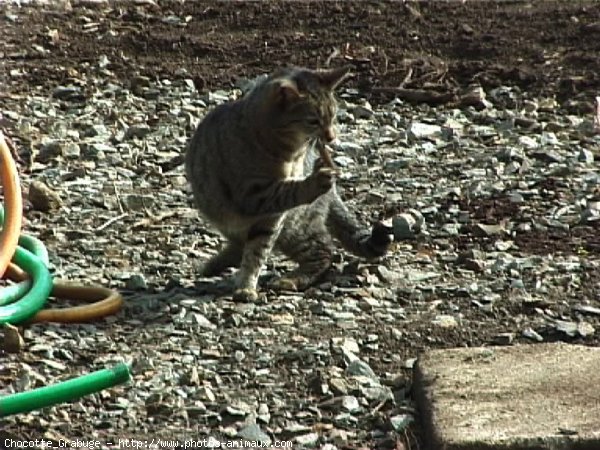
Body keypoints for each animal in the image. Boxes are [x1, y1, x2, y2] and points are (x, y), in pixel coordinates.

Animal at [185, 66, 392, 298]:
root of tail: (333, 195)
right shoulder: (251, 193)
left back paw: (290, 279)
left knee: (323, 252)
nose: (331, 137)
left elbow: (258, 250)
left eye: (333, 115)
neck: (291, 152)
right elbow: (285, 194)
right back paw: (215, 265)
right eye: (313, 121)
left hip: (295, 226)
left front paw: (246, 284)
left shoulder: (273, 217)